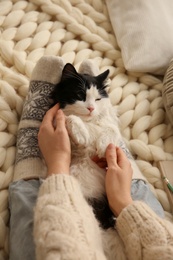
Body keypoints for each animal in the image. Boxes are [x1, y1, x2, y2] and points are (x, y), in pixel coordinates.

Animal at [51, 63, 145, 230]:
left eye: (98, 99)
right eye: (80, 95)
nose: (91, 108)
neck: (88, 122)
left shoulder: (110, 125)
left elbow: (111, 129)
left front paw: (102, 146)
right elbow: (69, 117)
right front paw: (82, 135)